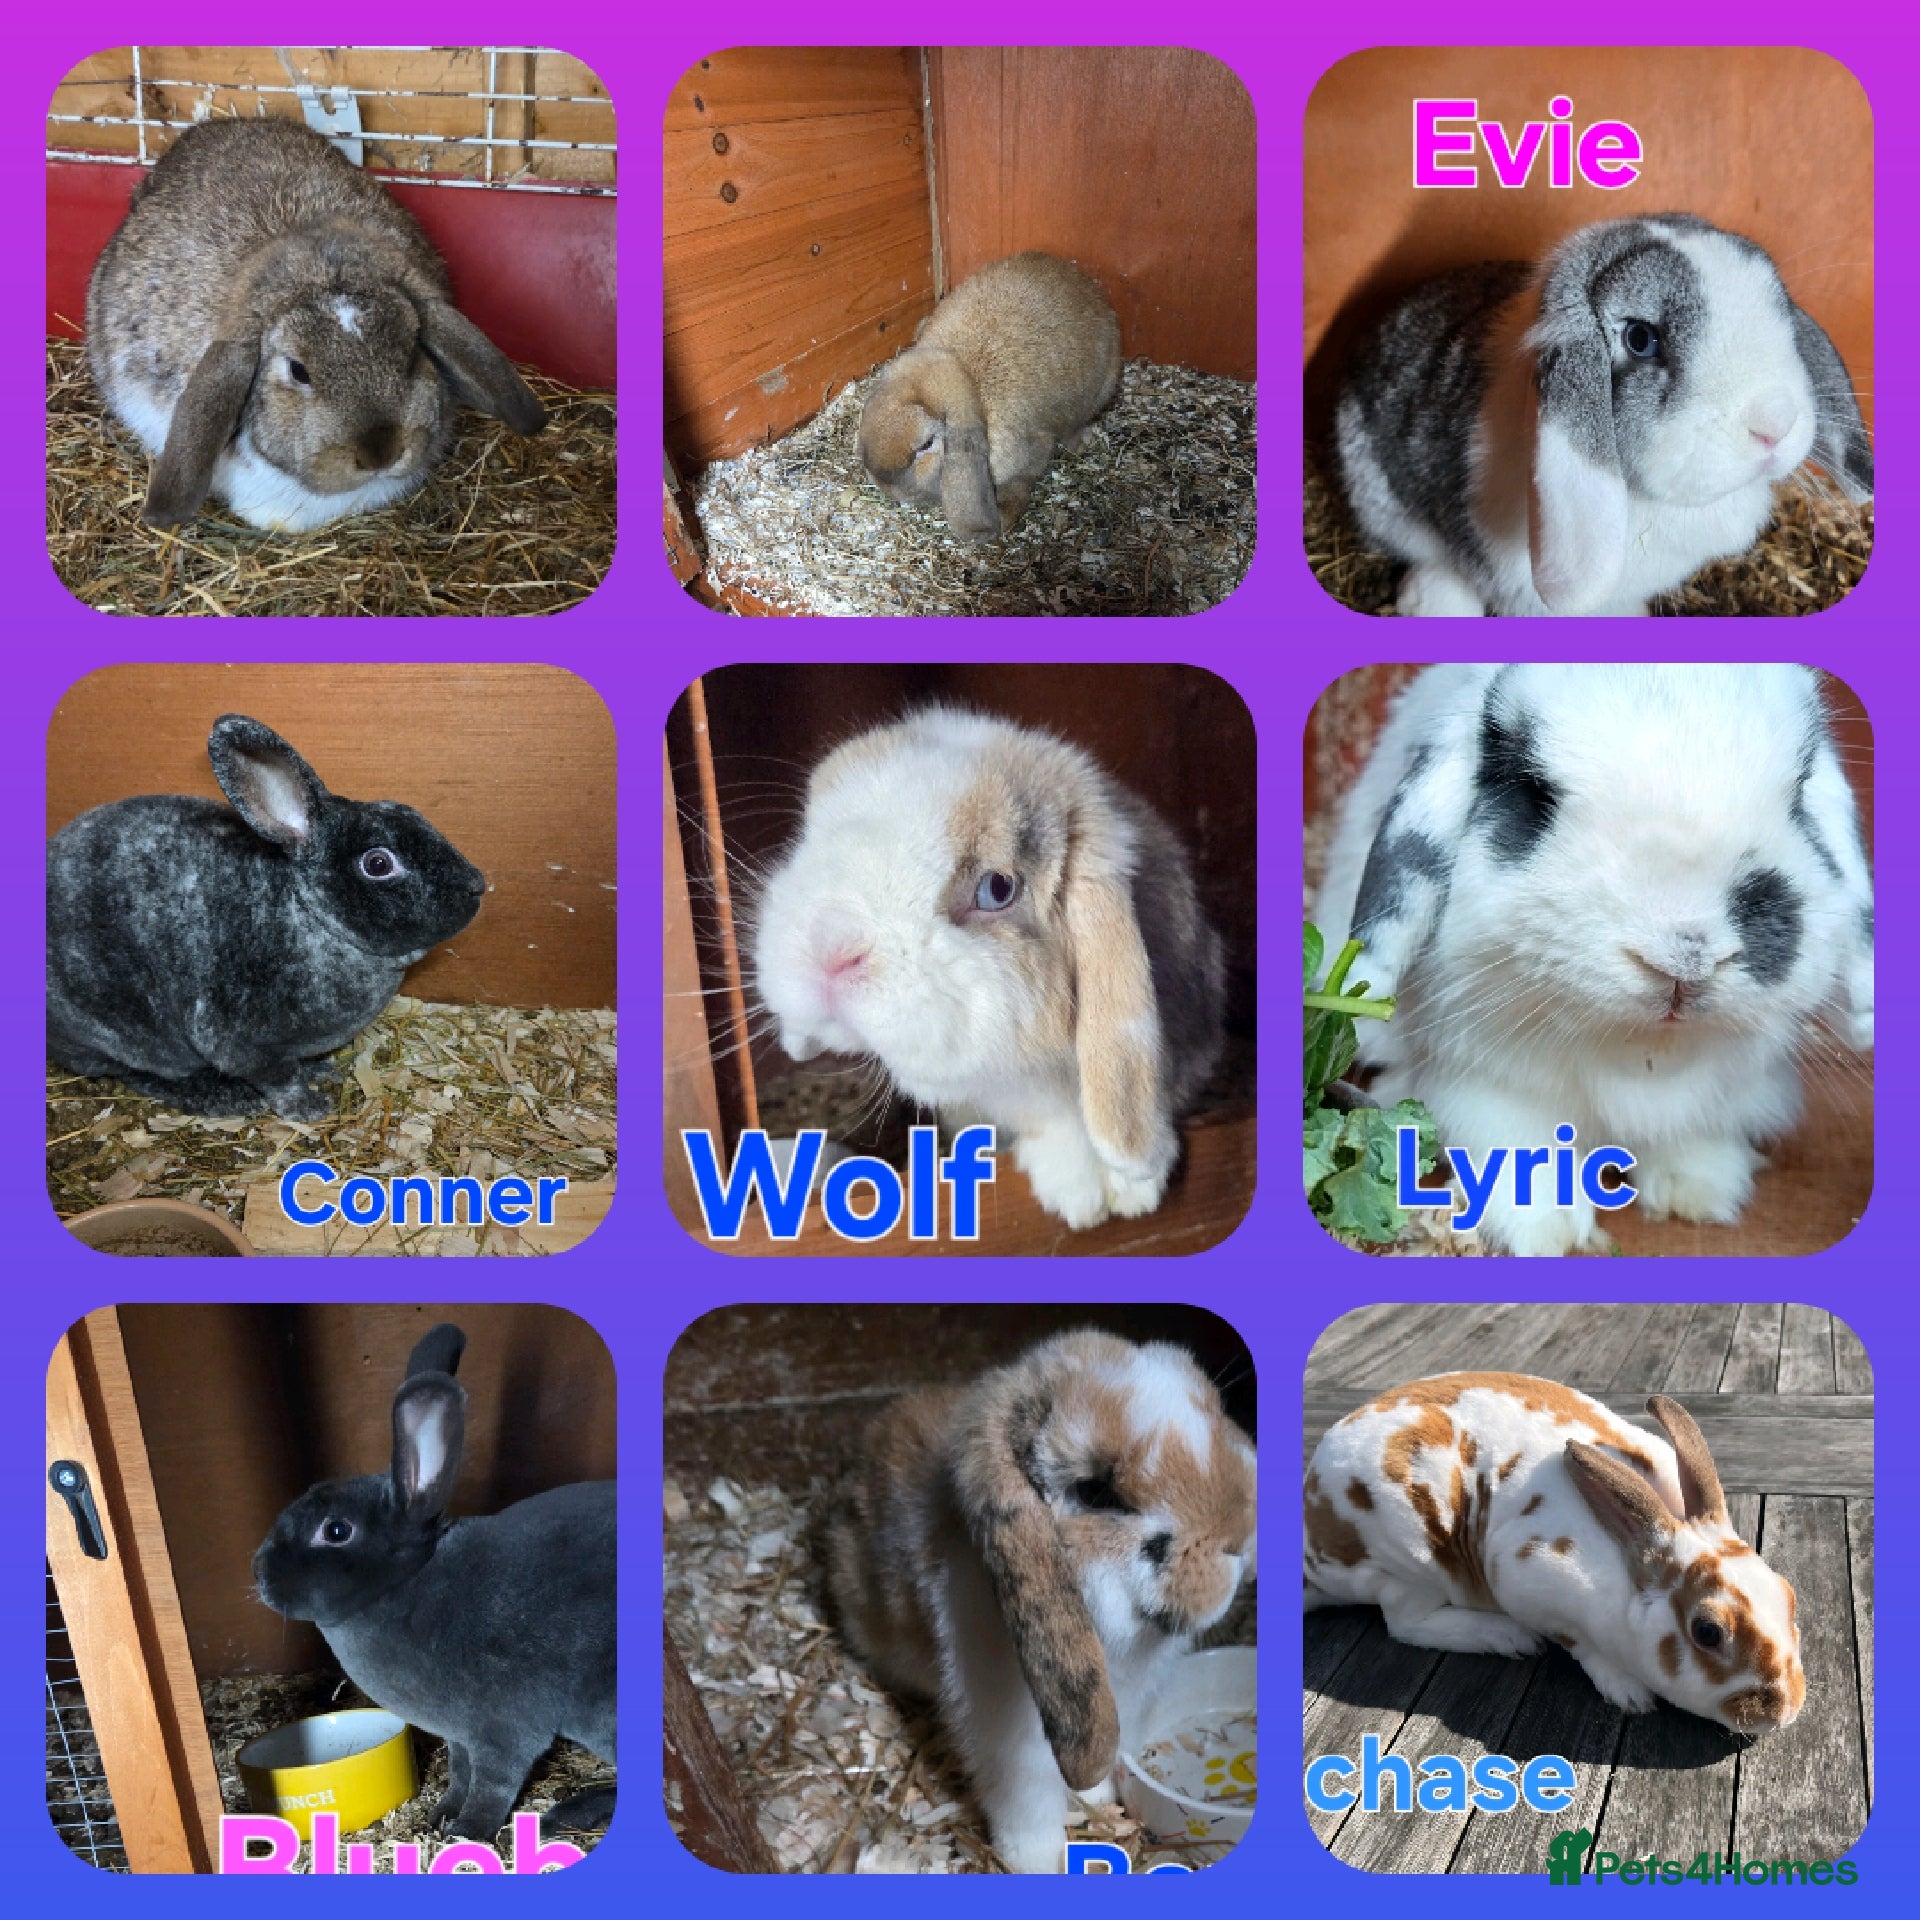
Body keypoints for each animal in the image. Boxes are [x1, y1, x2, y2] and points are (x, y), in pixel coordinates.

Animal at [47, 714, 486, 1122]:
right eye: (378, 864)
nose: (476, 885)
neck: (313, 918)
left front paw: (321, 1071)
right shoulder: (238, 1040)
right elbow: (278, 1078)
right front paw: (308, 1107)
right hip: (119, 1035)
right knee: (135, 1073)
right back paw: (219, 1097)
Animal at [253, 1323, 617, 1842]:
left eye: (336, 1531)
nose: (259, 1573)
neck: (405, 1588)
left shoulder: (502, 1732)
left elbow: (492, 1786)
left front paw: (467, 1834)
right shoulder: (460, 1737)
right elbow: (460, 1772)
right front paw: (440, 1817)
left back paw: (573, 1813)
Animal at [823, 1330, 1256, 1872]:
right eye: (1095, 1492)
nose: (1240, 1537)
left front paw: (1095, 1801)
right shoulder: (1011, 1738)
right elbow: (1027, 1803)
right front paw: (1038, 1861)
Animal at [1304, 1372, 1805, 1733]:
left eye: (1789, 1596)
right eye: (1707, 1632)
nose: (1784, 1711)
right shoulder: (1528, 1578)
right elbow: (1580, 1645)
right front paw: (1628, 1692)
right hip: (1409, 1560)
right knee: (1404, 1622)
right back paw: (1507, 1637)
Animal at [1313, 664, 1874, 1255]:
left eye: (1799, 794)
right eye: (1535, 792)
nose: (1685, 959)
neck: (1640, 1053)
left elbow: (1690, 1137)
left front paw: (1699, 1193)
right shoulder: (1483, 1087)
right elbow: (1518, 1144)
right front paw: (1547, 1231)